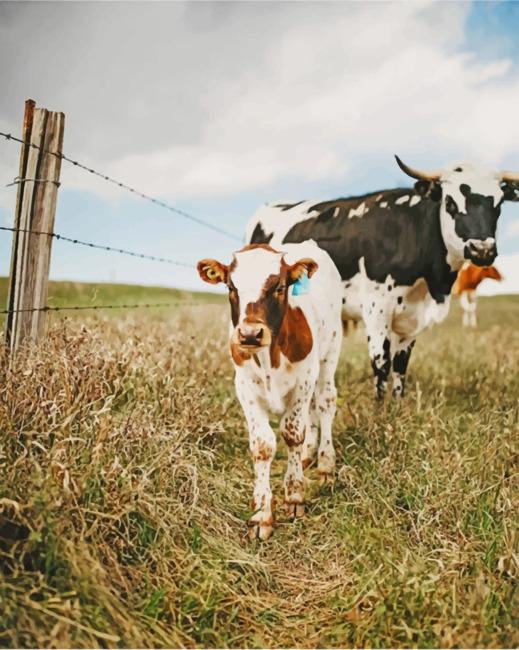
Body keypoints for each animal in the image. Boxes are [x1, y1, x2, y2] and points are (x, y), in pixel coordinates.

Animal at [197, 241, 343, 540]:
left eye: (280, 287)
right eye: (231, 287)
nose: (250, 334)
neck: (269, 358)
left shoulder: (304, 379)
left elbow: (293, 434)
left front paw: (295, 496)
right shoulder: (244, 387)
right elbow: (263, 445)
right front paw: (262, 514)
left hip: (329, 355)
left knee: (325, 403)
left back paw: (325, 464)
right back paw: (310, 455)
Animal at [246, 157, 519, 399]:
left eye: (498, 205)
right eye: (450, 203)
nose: (482, 250)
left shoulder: (412, 317)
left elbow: (400, 364)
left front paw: (397, 404)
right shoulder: (377, 309)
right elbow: (381, 363)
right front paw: (380, 409)